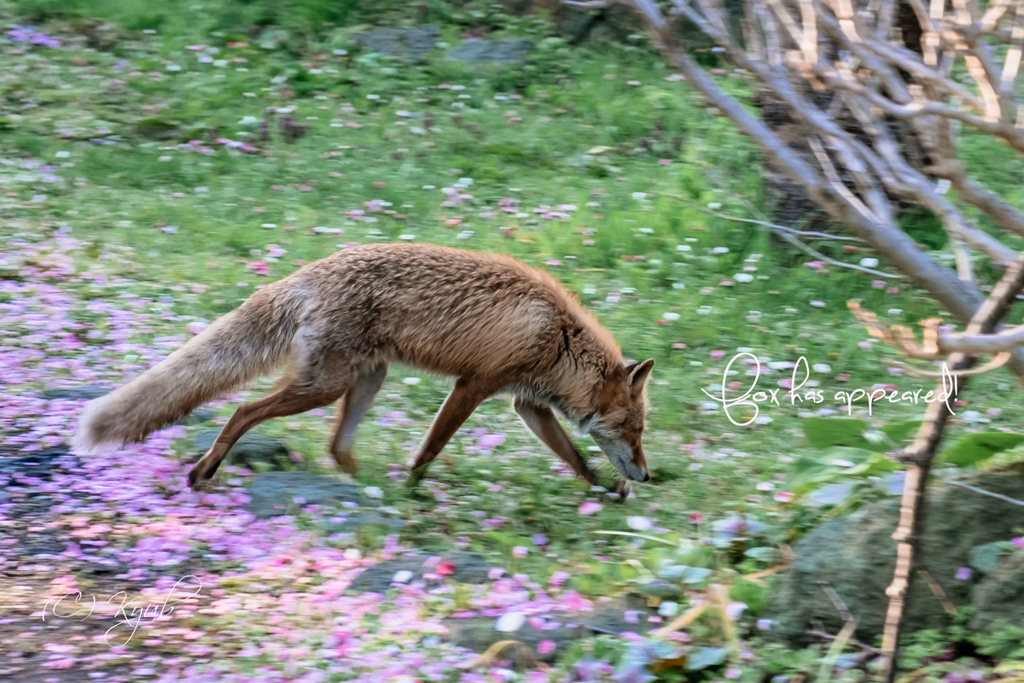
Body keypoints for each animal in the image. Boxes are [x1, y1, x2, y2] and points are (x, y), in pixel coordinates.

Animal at [72, 244, 651, 491]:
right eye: (634, 430)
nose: (648, 474)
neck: (558, 338)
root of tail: (303, 274)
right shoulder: (474, 385)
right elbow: (431, 447)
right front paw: (414, 488)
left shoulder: (526, 403)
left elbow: (575, 457)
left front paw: (605, 490)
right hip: (325, 386)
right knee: (243, 411)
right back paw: (205, 470)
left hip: (366, 380)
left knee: (336, 447)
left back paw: (365, 489)